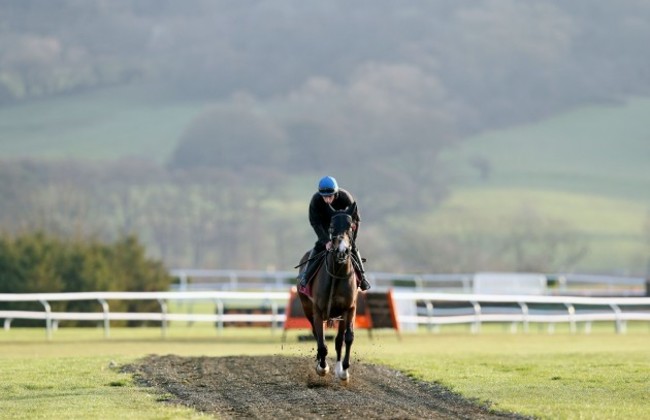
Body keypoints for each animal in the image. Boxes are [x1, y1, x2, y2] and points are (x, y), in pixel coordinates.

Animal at [296, 202, 356, 382]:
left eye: (351, 226)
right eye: (331, 226)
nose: (342, 251)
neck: (337, 273)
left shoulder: (349, 308)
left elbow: (347, 338)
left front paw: (344, 370)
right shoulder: (318, 310)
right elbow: (321, 342)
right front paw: (322, 367)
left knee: (338, 340)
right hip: (308, 308)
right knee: (317, 335)